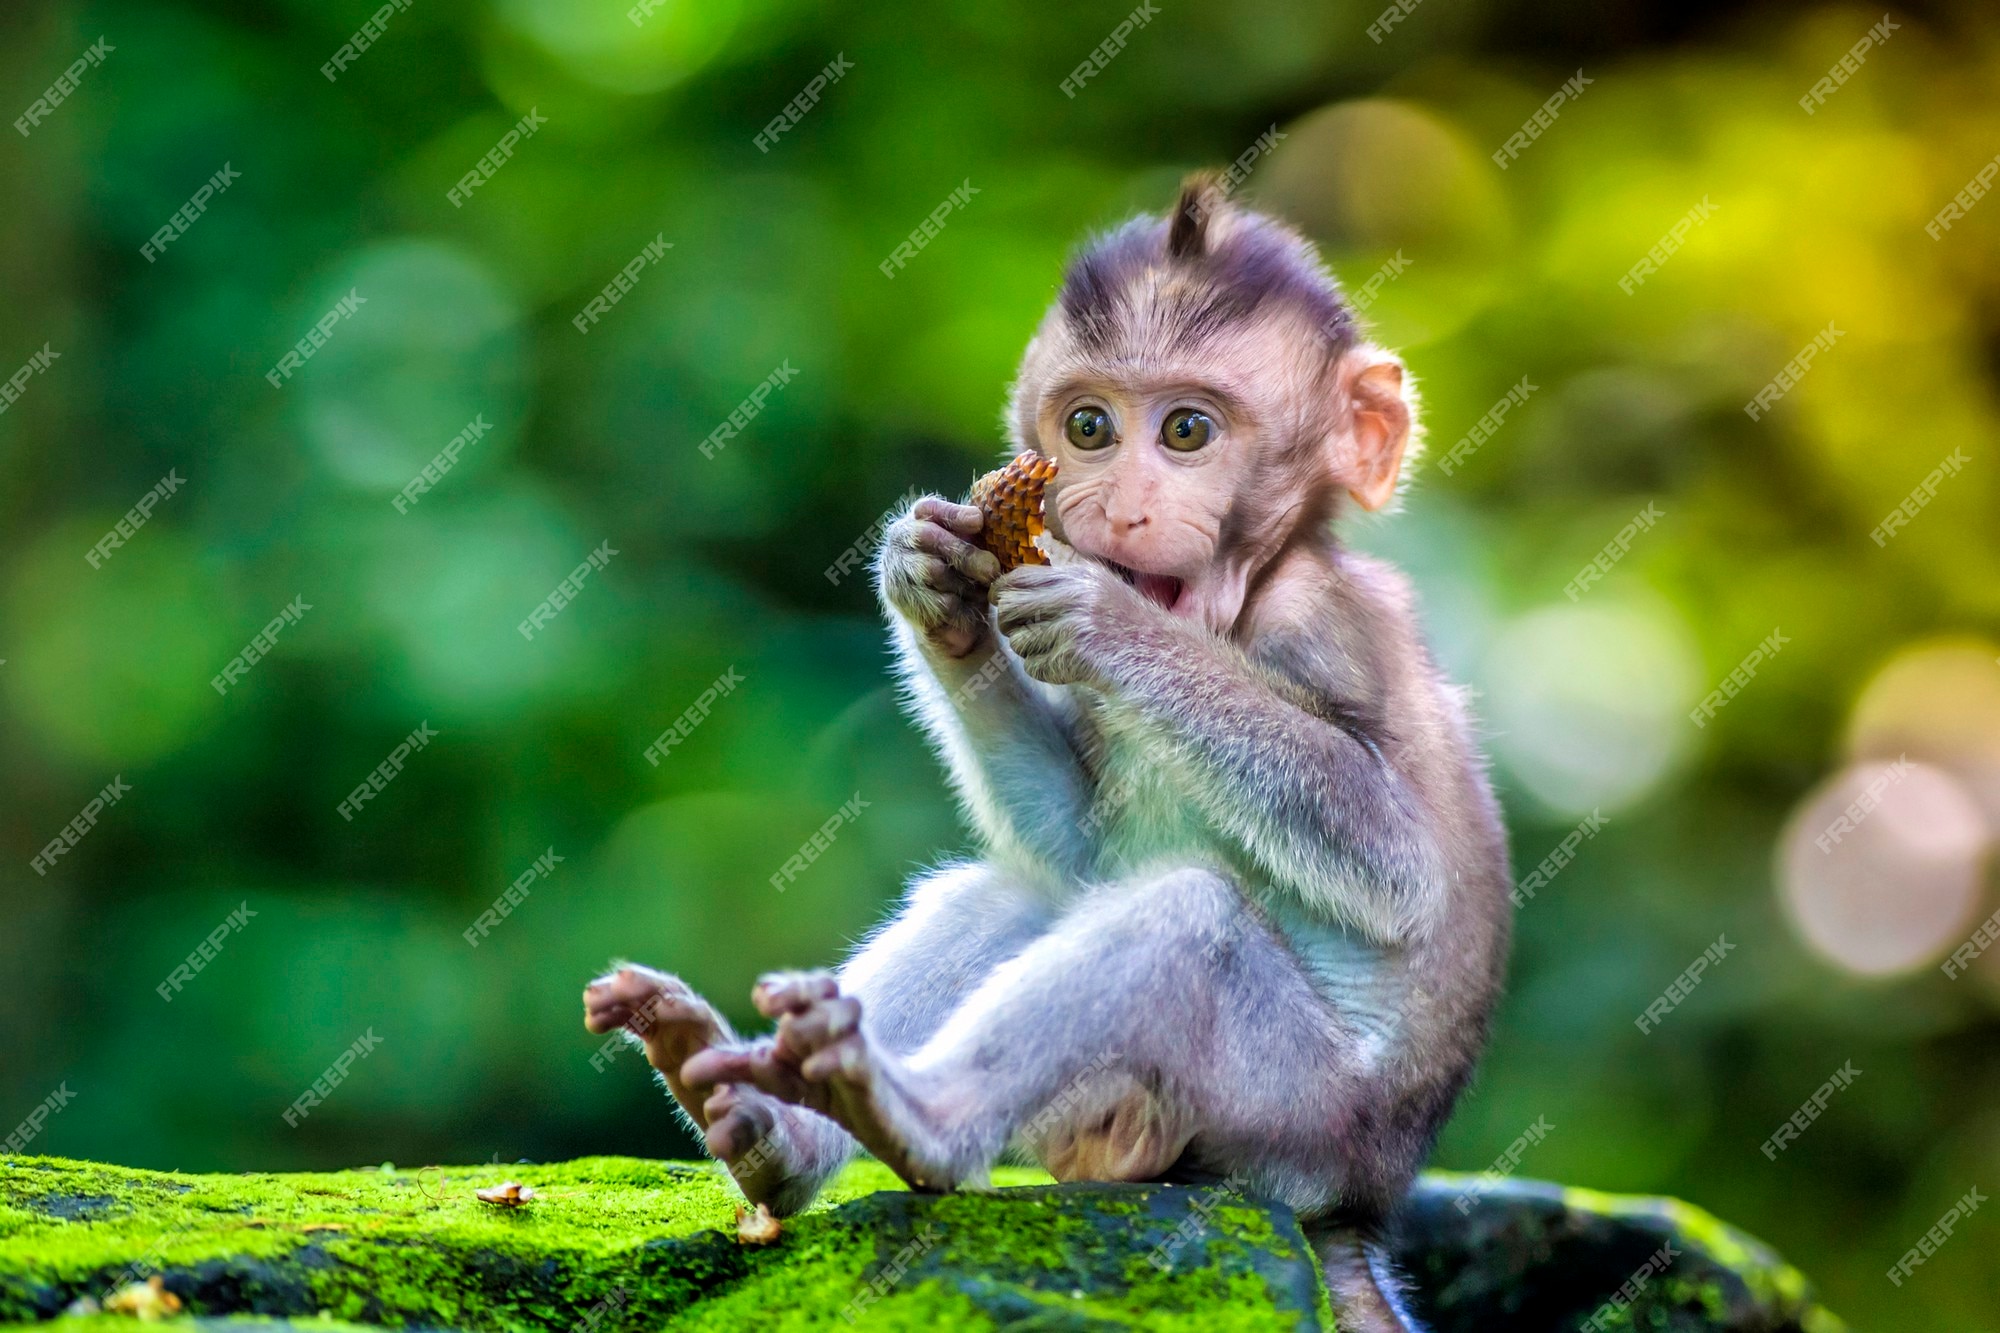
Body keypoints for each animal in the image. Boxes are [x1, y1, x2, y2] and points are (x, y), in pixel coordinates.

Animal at [584, 176, 1504, 1328]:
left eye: (1187, 431)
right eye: (1088, 426)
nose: (1116, 505)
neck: (1236, 605)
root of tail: (1359, 1205)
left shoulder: (1322, 625)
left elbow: (1396, 866)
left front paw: (1109, 624)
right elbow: (1076, 847)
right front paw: (934, 589)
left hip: (1285, 1119)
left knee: (1187, 925)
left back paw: (916, 1116)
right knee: (1012, 893)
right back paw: (770, 1128)